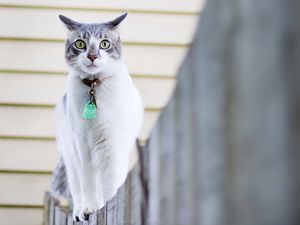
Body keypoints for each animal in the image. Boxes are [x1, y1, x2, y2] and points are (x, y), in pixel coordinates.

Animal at [55, 13, 144, 222]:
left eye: (104, 44)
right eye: (80, 44)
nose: (93, 56)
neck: (93, 87)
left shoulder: (112, 147)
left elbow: (110, 187)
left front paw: (106, 207)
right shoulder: (83, 148)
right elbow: (88, 183)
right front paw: (89, 209)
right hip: (71, 157)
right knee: (77, 188)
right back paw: (79, 211)